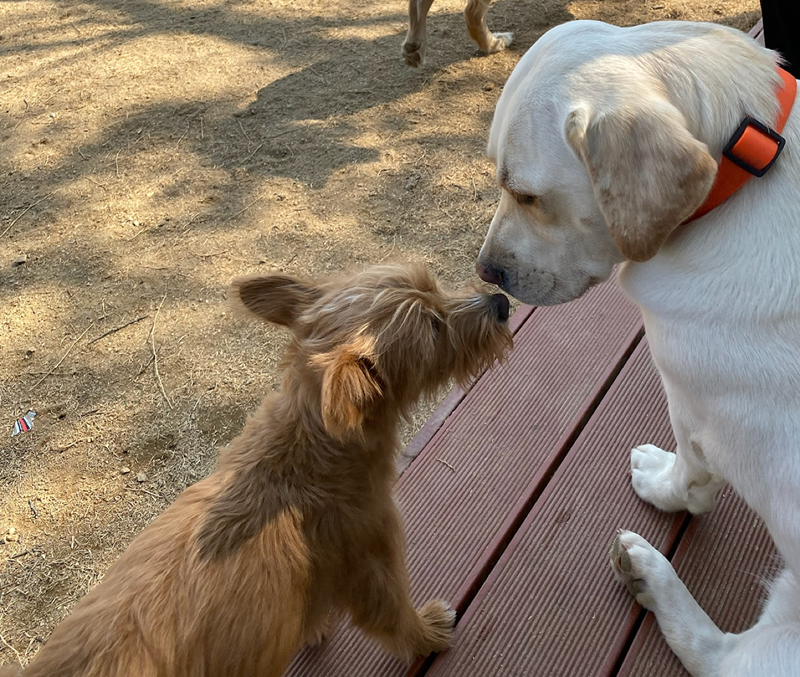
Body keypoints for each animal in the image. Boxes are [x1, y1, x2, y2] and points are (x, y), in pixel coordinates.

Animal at [0, 262, 510, 676]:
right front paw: (431, 632)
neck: (305, 450)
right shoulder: (373, 566)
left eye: (434, 287)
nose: (502, 303)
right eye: (434, 328)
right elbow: (397, 619)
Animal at [478, 19, 796, 676]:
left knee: (717, 656)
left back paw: (650, 573)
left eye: (526, 195)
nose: (485, 272)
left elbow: (690, 481)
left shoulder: (694, 414)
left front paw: (660, 484)